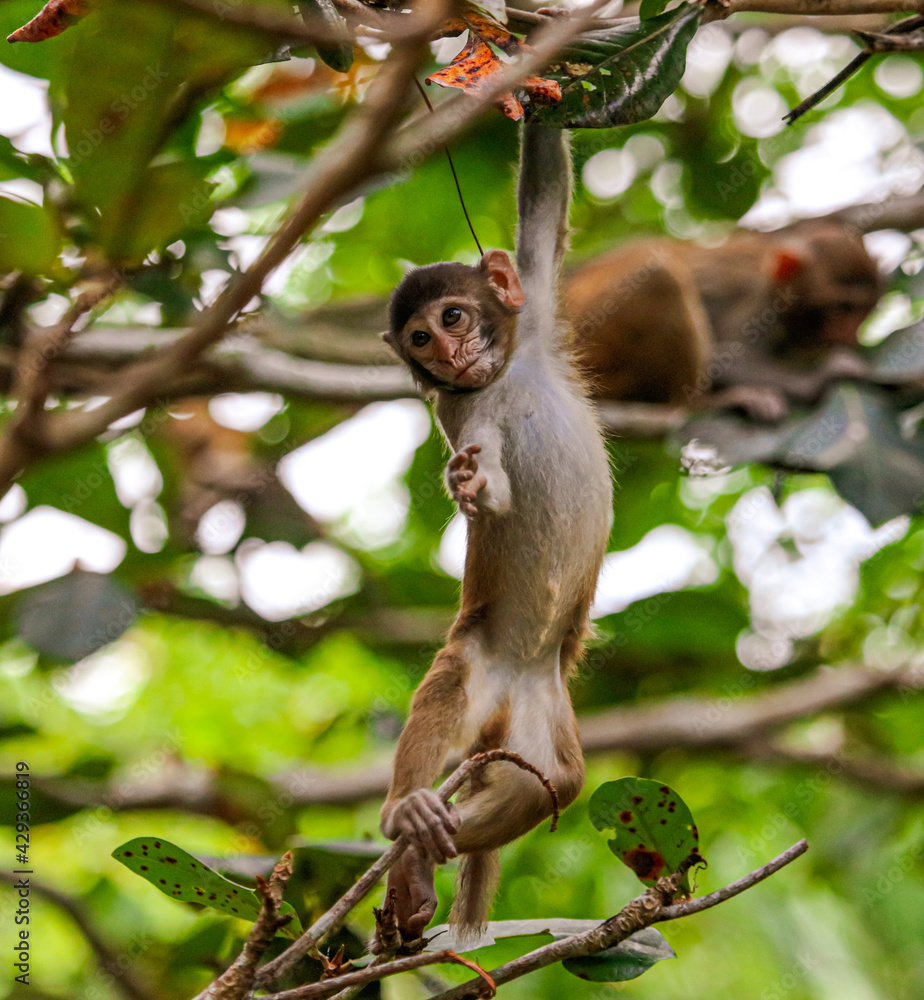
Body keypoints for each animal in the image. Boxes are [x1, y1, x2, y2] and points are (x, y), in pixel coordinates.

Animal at [379, 125, 613, 945]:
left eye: (452, 319)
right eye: (419, 339)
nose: (449, 357)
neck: (503, 377)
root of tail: (516, 682)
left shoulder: (535, 314)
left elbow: (544, 213)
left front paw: (537, 93)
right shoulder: (464, 416)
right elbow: (489, 481)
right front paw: (473, 488)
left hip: (540, 715)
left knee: (550, 787)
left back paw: (422, 861)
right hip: (480, 658)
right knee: (449, 682)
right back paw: (406, 820)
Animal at [565, 218, 884, 420]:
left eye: (864, 311)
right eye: (842, 308)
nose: (851, 335)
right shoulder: (756, 302)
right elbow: (728, 358)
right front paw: (821, 378)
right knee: (658, 275)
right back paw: (699, 404)